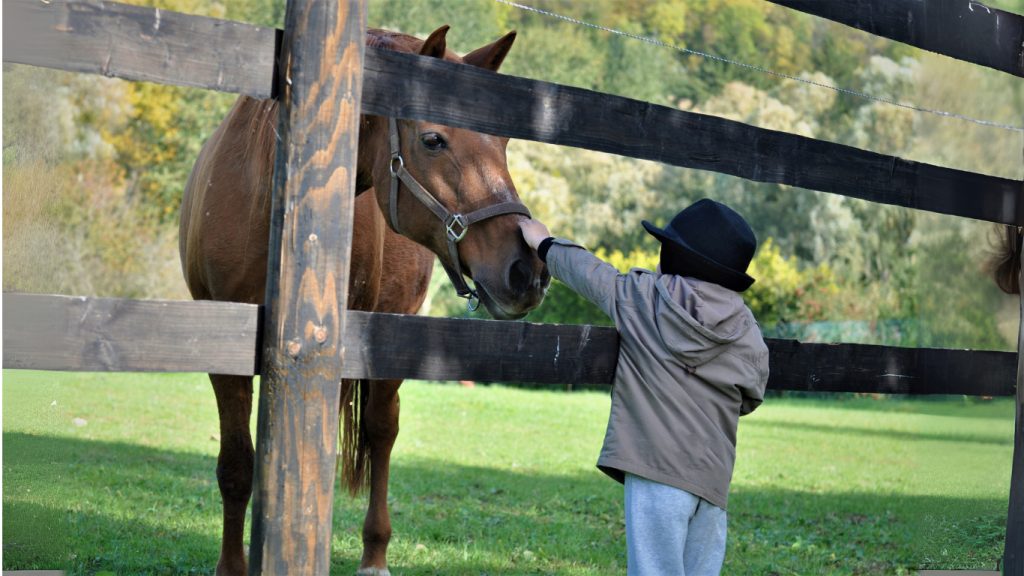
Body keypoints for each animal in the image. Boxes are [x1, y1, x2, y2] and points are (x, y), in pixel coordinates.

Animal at [178, 25, 549, 576]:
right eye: (433, 139)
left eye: (502, 142)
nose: (526, 270)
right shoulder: (224, 351)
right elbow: (237, 466)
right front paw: (232, 566)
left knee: (381, 430)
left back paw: (374, 553)